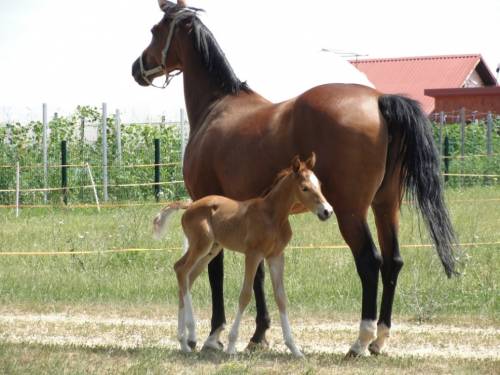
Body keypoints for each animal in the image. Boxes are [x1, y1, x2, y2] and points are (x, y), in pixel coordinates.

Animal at [152, 154, 332, 356]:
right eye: (304, 188)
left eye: (319, 185)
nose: (327, 211)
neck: (272, 215)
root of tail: (189, 205)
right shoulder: (253, 254)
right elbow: (245, 295)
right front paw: (231, 346)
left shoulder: (276, 256)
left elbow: (281, 298)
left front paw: (295, 349)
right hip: (201, 245)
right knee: (181, 269)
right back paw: (190, 334)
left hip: (211, 249)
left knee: (187, 278)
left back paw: (183, 342)